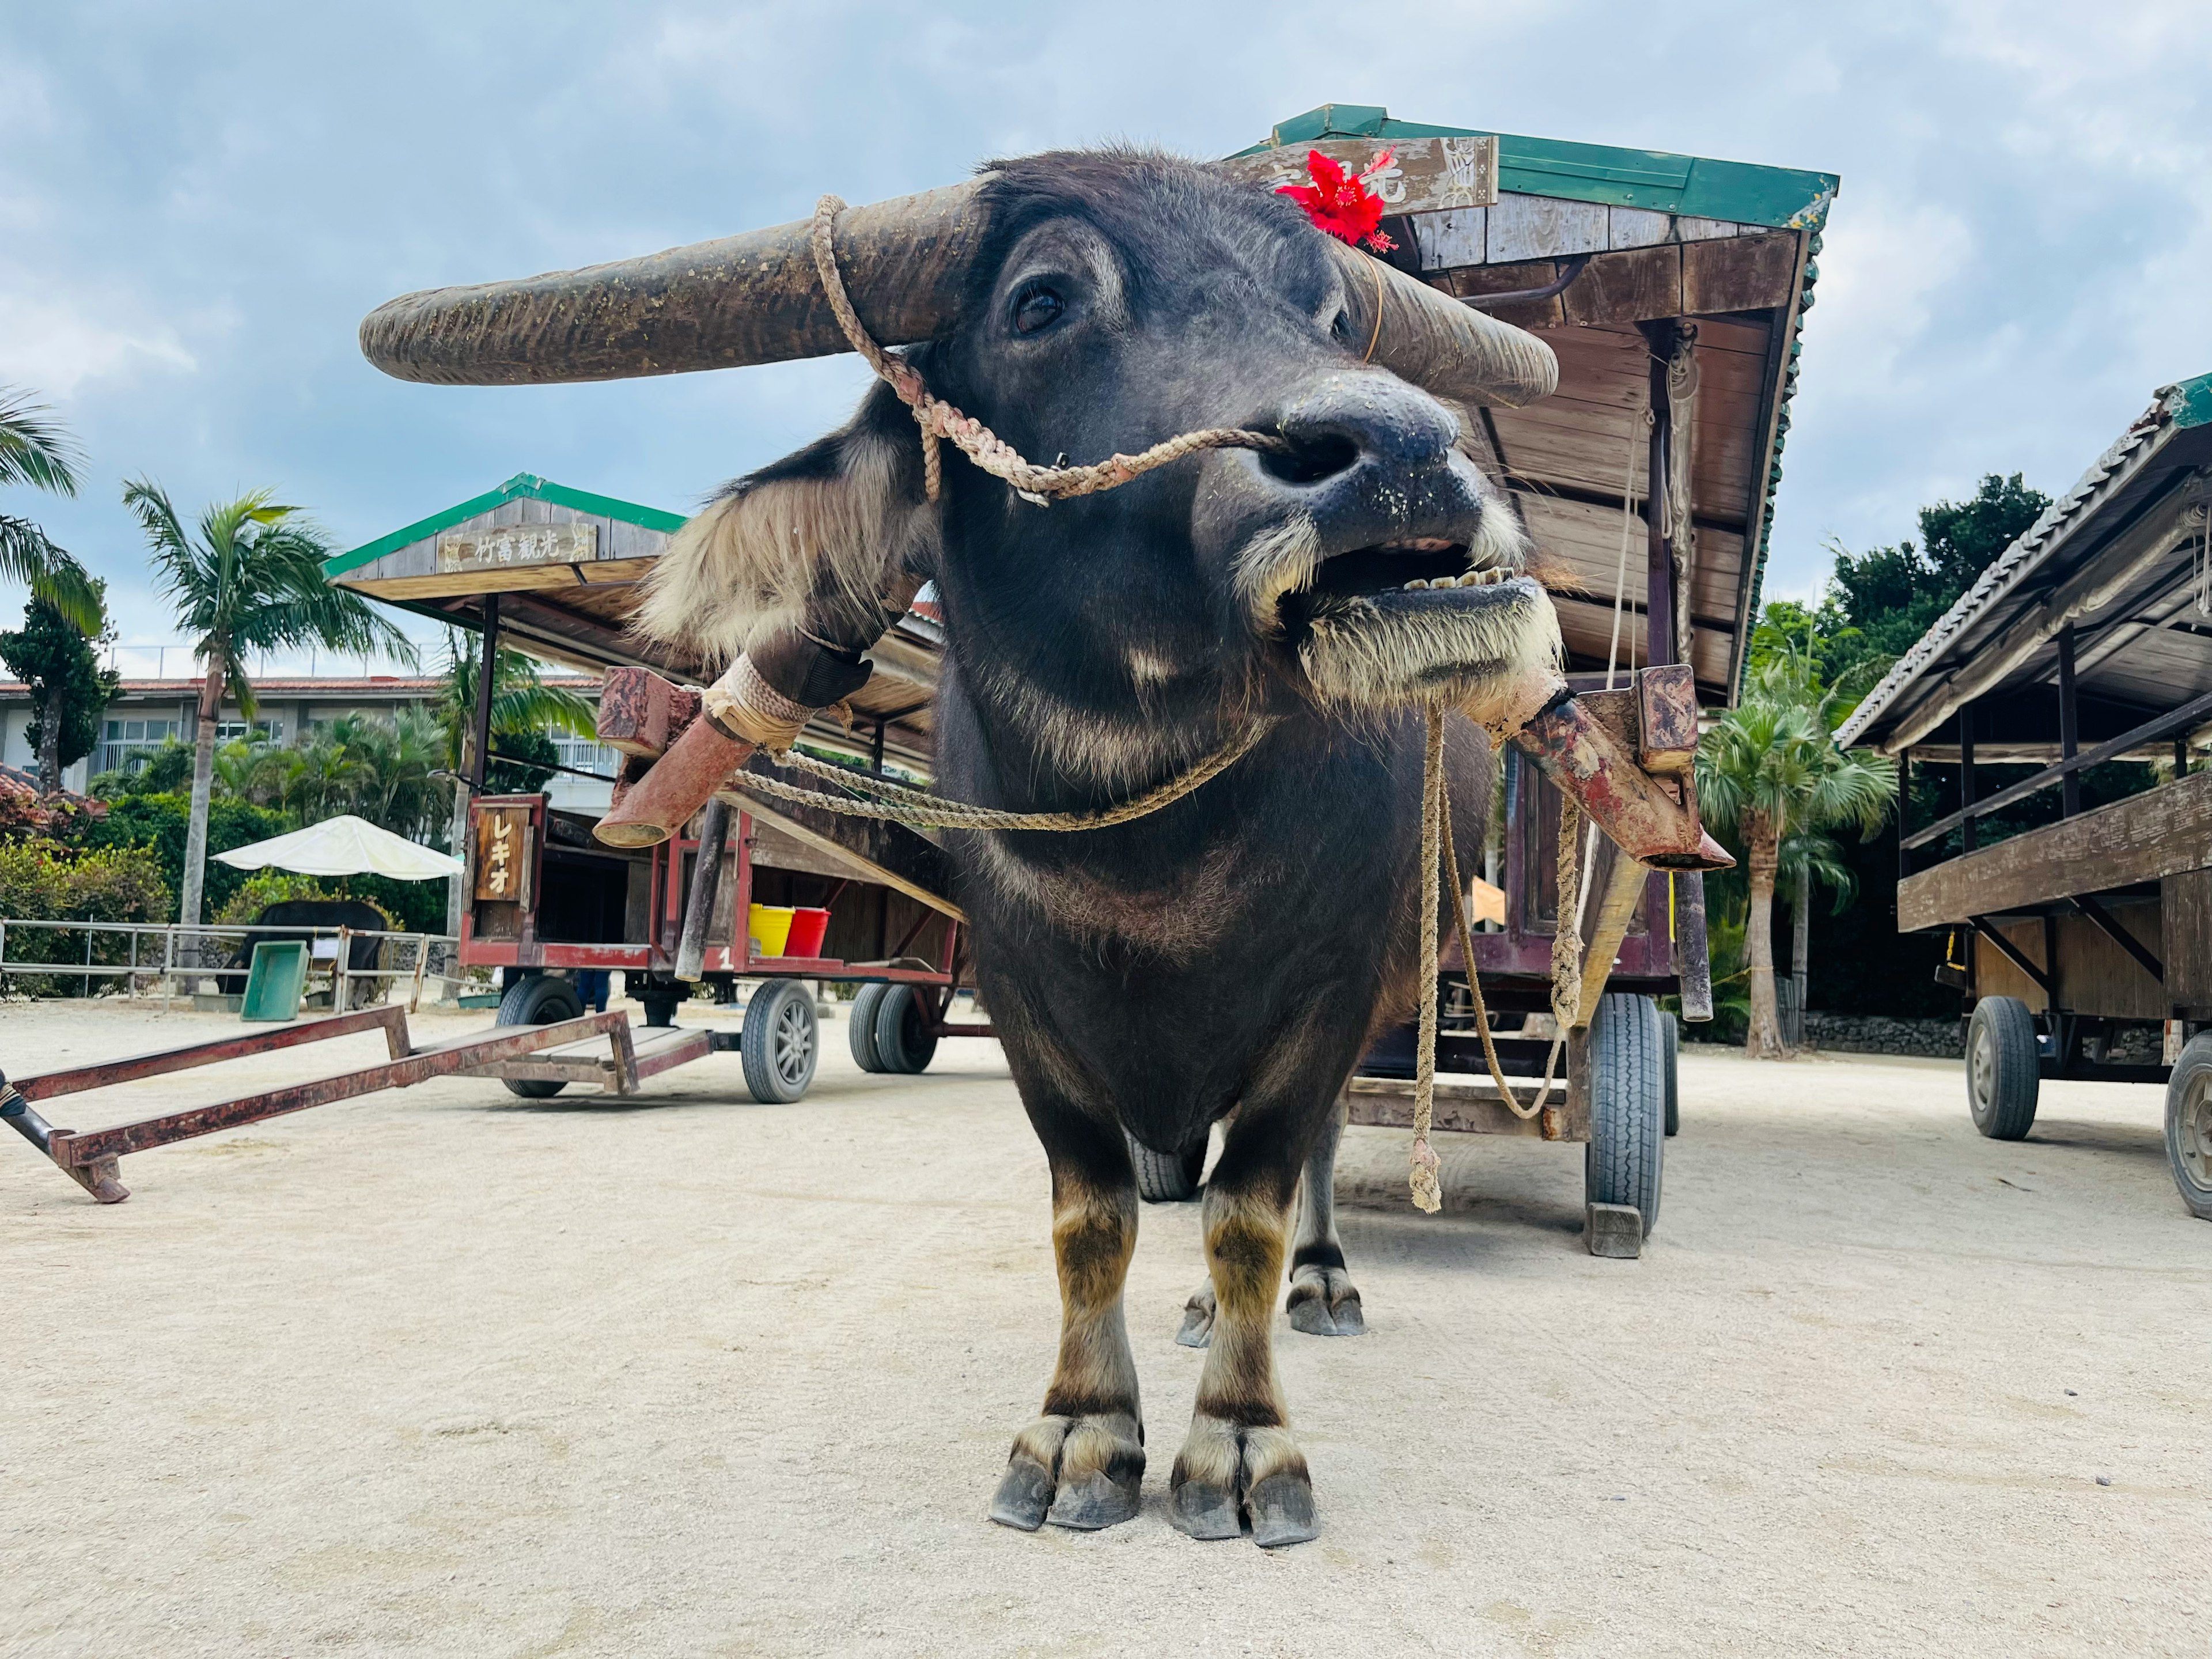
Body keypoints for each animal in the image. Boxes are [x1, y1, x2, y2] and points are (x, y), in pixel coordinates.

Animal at [362, 149, 1575, 1557]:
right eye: (1042, 300)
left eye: (1332, 314)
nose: (1408, 451)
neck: (1153, 849)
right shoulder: (1023, 997)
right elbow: (1091, 1220)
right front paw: (1082, 1432)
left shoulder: (1326, 1001)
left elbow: (1251, 1211)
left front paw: (1242, 1443)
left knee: (1302, 1175)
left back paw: (1316, 1287)